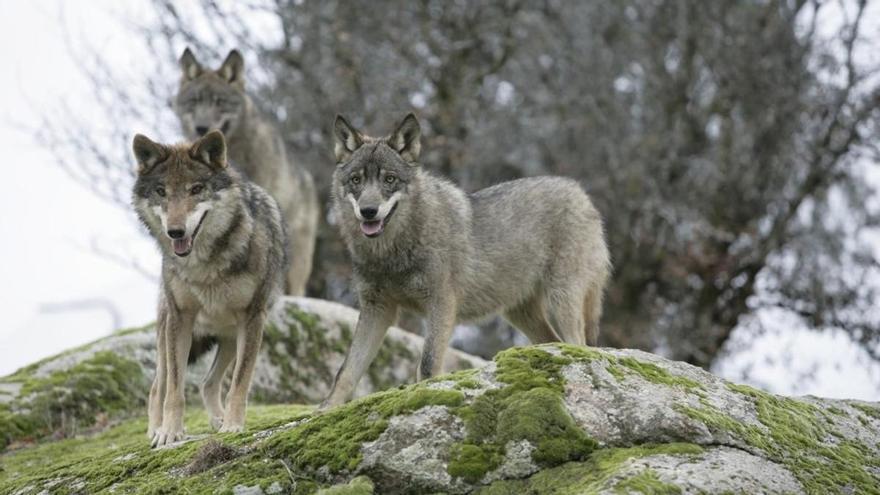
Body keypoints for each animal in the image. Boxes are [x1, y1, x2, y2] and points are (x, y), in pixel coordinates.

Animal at [132, 130, 287, 447]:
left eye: (196, 189)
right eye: (161, 191)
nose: (175, 232)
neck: (204, 265)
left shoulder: (253, 318)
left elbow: (239, 382)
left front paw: (233, 425)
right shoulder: (180, 319)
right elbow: (175, 389)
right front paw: (169, 433)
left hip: (230, 336)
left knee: (208, 382)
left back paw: (218, 420)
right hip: (167, 334)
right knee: (157, 387)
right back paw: (155, 430)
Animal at [323, 113, 611, 407]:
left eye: (389, 179)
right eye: (356, 180)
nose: (368, 211)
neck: (391, 252)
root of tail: (581, 193)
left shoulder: (441, 303)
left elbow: (427, 365)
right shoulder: (377, 309)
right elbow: (345, 372)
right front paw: (325, 409)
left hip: (561, 300)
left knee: (579, 344)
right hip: (521, 313)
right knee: (555, 342)